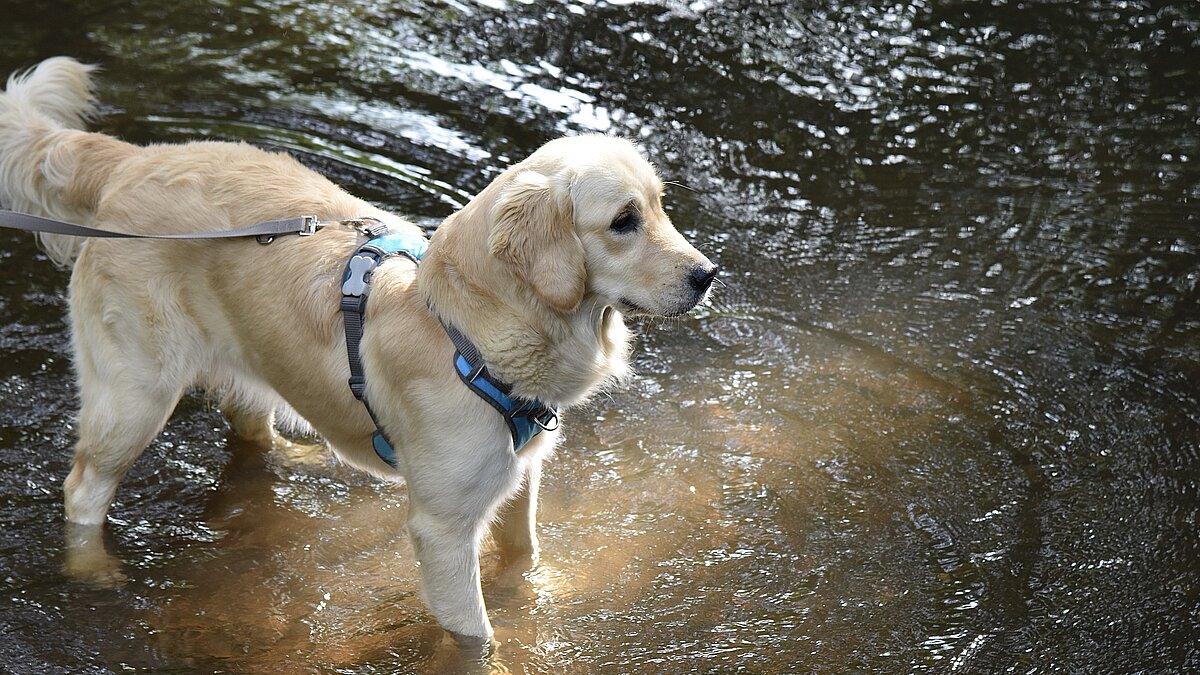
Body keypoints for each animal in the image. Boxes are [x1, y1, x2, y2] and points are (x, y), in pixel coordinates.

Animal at [0, 60, 710, 643]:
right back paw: (92, 570)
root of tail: (128, 161)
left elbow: (524, 556)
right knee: (83, 489)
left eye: (660, 206)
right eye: (623, 222)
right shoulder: (442, 529)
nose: (708, 275)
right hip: (134, 394)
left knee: (250, 423)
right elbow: (476, 635)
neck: (467, 327)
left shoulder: (520, 475)